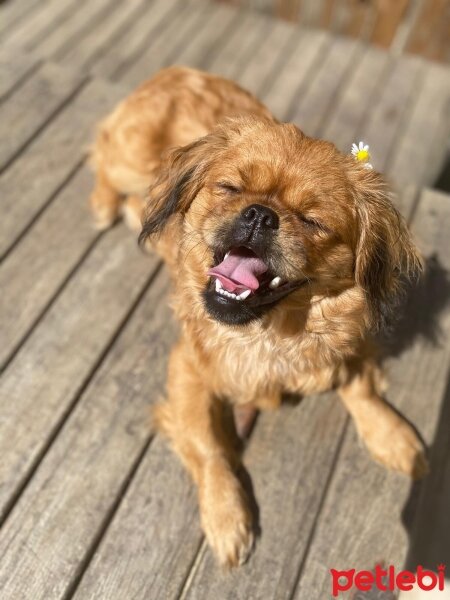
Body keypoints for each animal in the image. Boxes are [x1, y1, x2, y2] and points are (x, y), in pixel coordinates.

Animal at [89, 65, 428, 568]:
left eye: (312, 221)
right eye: (230, 189)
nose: (260, 214)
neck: (270, 331)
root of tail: (173, 72)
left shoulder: (349, 342)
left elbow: (361, 388)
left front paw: (394, 437)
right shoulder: (187, 368)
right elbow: (209, 448)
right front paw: (227, 518)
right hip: (128, 158)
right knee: (101, 154)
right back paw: (104, 204)